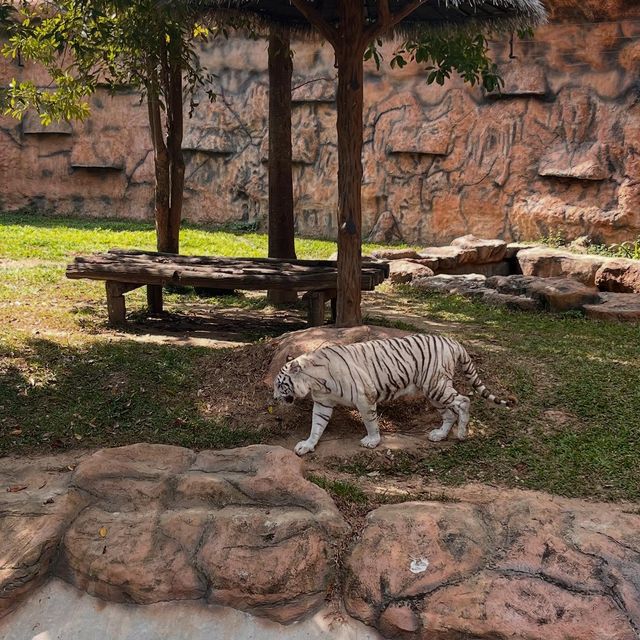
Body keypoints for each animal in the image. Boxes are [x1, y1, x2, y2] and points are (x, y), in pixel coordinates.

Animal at [272, 336, 512, 456]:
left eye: (280, 385)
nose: (273, 398)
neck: (315, 382)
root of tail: (453, 341)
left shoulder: (365, 397)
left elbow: (370, 422)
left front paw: (372, 441)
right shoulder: (323, 403)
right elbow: (317, 426)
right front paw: (307, 445)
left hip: (437, 386)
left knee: (463, 401)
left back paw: (462, 434)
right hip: (433, 391)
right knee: (449, 413)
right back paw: (439, 435)